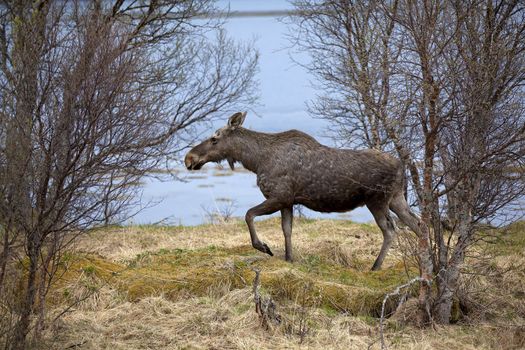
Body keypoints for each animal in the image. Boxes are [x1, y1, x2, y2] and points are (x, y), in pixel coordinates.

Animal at [184, 112, 422, 270]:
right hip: (396, 198)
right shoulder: (288, 201)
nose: (189, 158)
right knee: (418, 224)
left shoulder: (278, 196)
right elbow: (287, 229)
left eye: (214, 139)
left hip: (377, 200)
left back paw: (376, 266)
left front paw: (263, 247)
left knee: (390, 230)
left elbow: (248, 214)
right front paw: (289, 258)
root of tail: (401, 167)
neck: (256, 161)